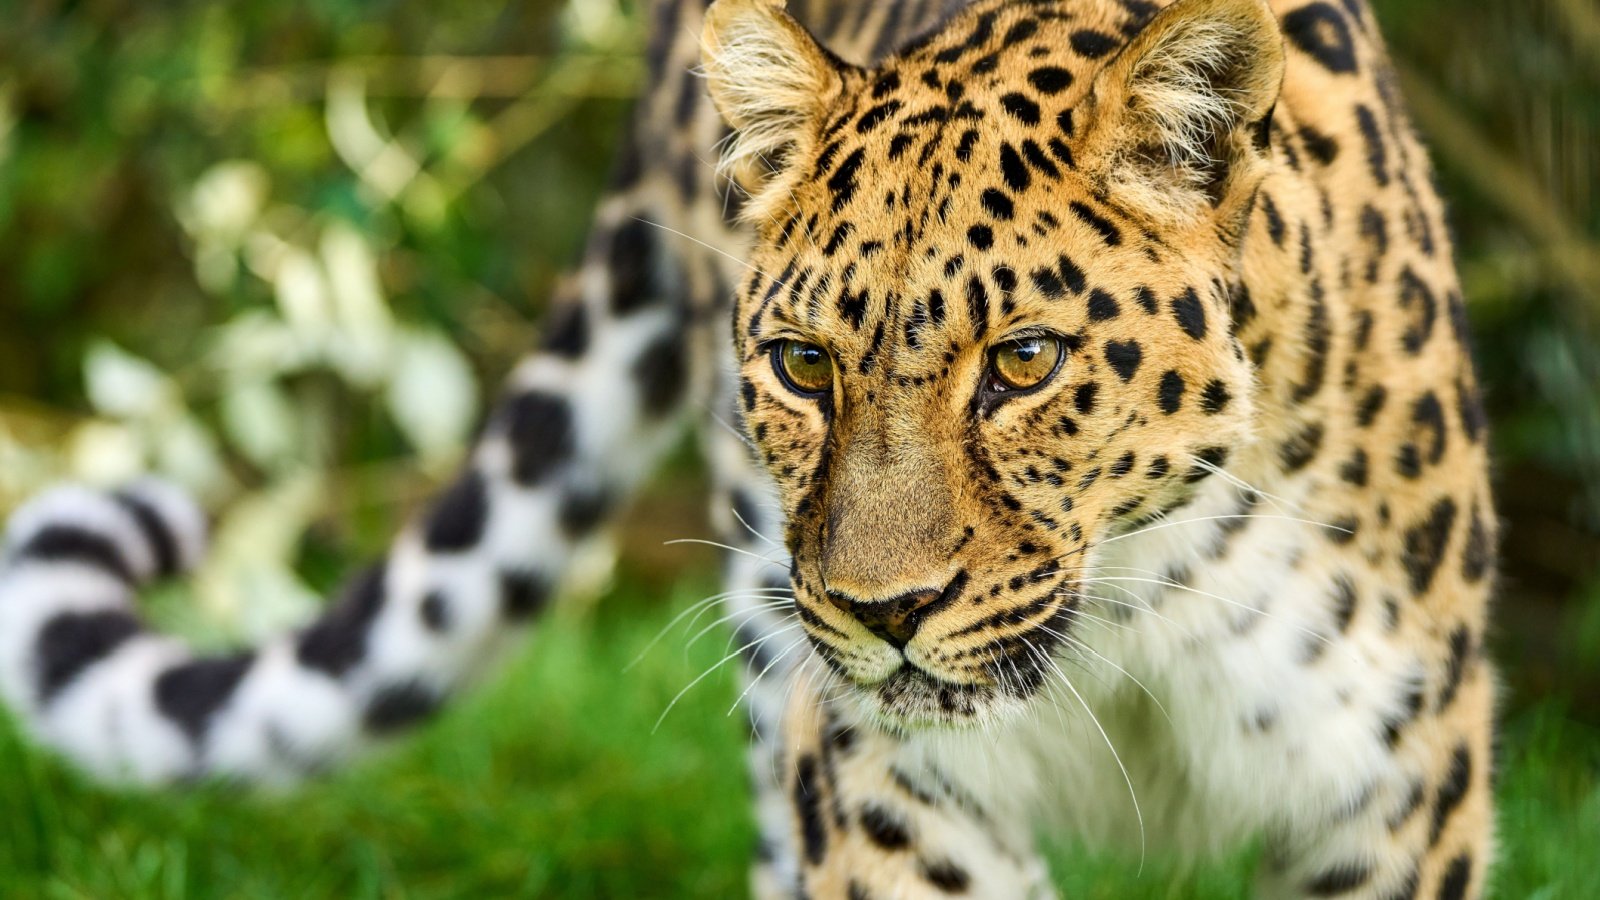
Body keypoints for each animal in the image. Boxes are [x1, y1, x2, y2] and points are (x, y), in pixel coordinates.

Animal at [3, 0, 1497, 890]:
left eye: (1023, 363)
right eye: (801, 365)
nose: (884, 613)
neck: (1147, 605)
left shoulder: (1395, 795)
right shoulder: (889, 786)